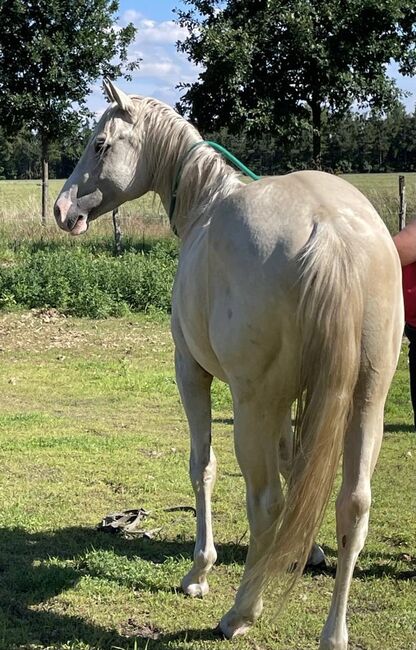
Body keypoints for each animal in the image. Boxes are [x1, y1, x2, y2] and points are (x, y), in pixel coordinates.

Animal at [54, 81, 404, 648]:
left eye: (101, 144)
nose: (62, 209)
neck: (206, 203)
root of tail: (331, 230)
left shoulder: (191, 373)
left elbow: (203, 467)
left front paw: (199, 571)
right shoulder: (298, 399)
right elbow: (296, 463)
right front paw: (307, 551)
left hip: (253, 405)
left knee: (266, 502)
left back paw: (240, 612)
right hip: (365, 399)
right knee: (352, 504)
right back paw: (333, 632)